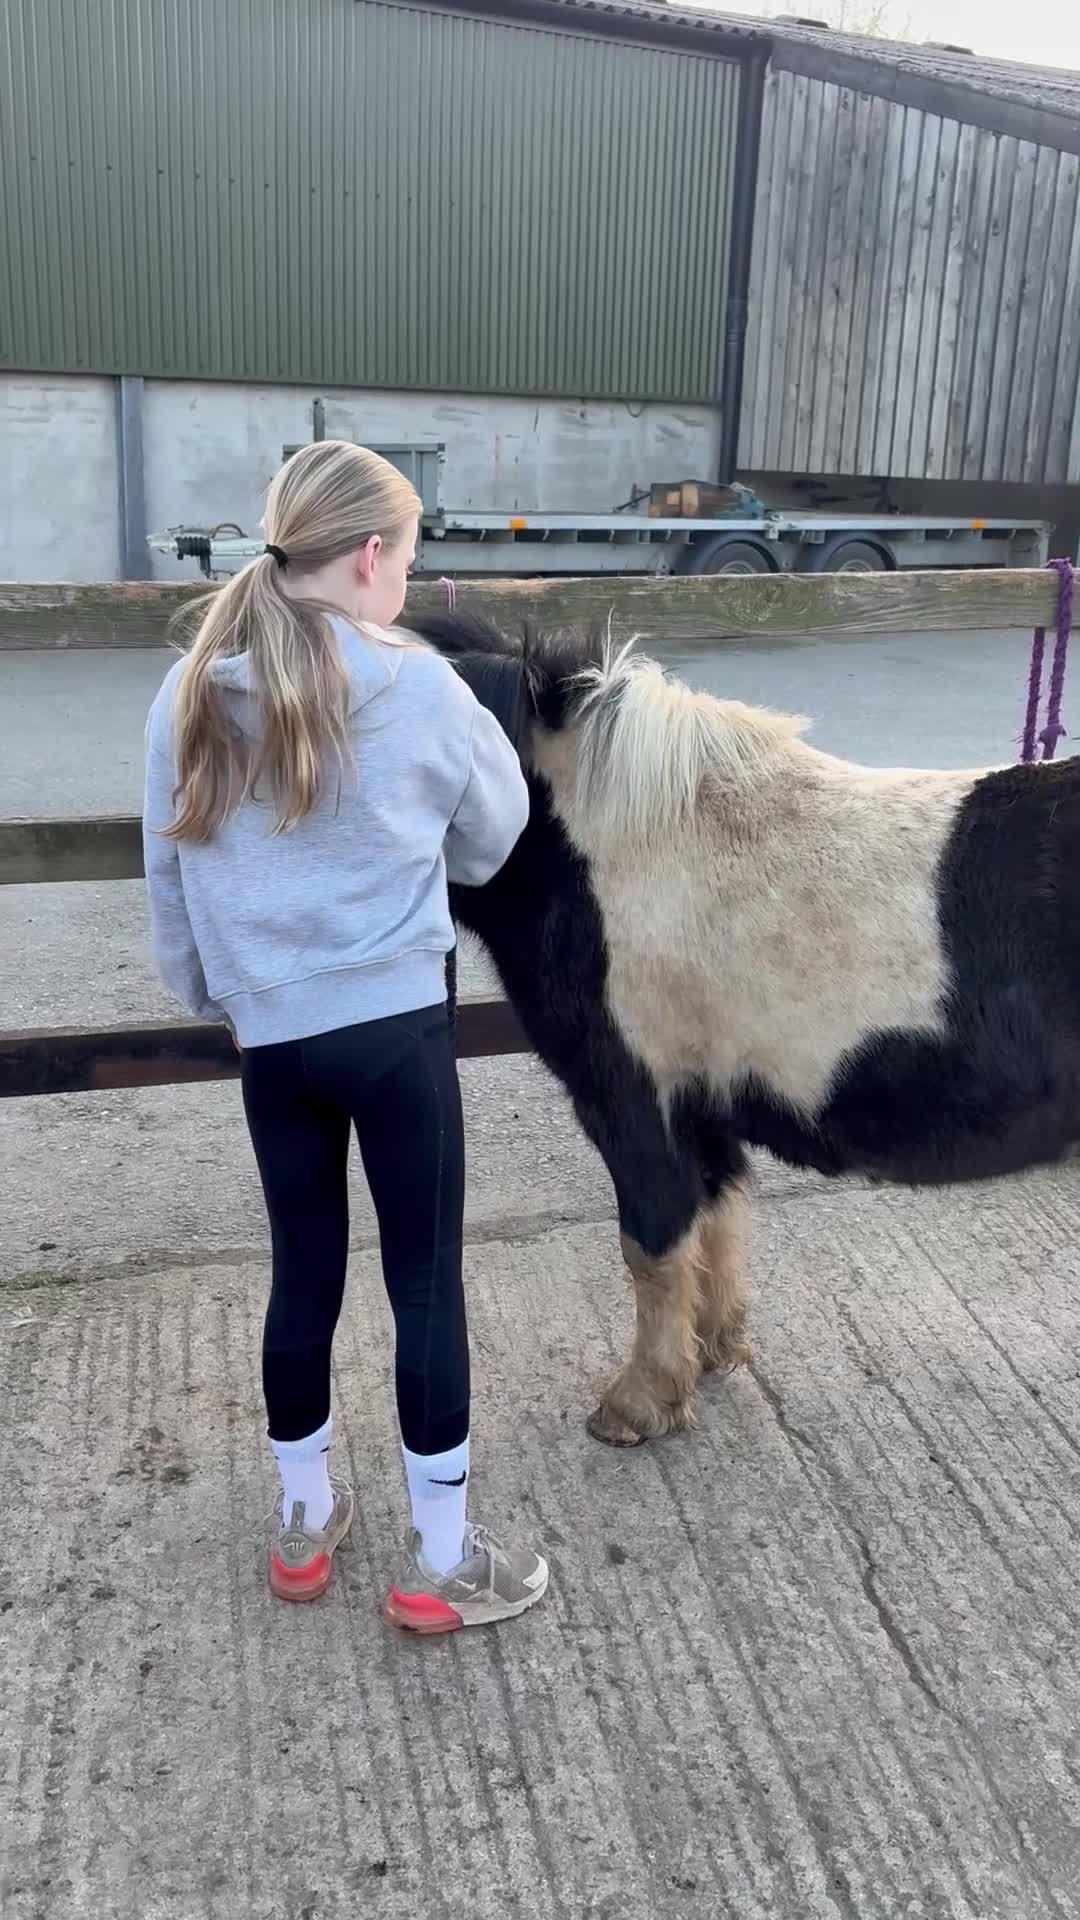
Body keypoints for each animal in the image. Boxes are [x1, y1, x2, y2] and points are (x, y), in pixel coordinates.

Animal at [406, 609, 1080, 1449]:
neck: (610, 851)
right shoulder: (706, 1104)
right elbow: (718, 1219)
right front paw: (712, 1349)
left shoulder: (634, 1104)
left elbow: (652, 1242)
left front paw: (641, 1401)